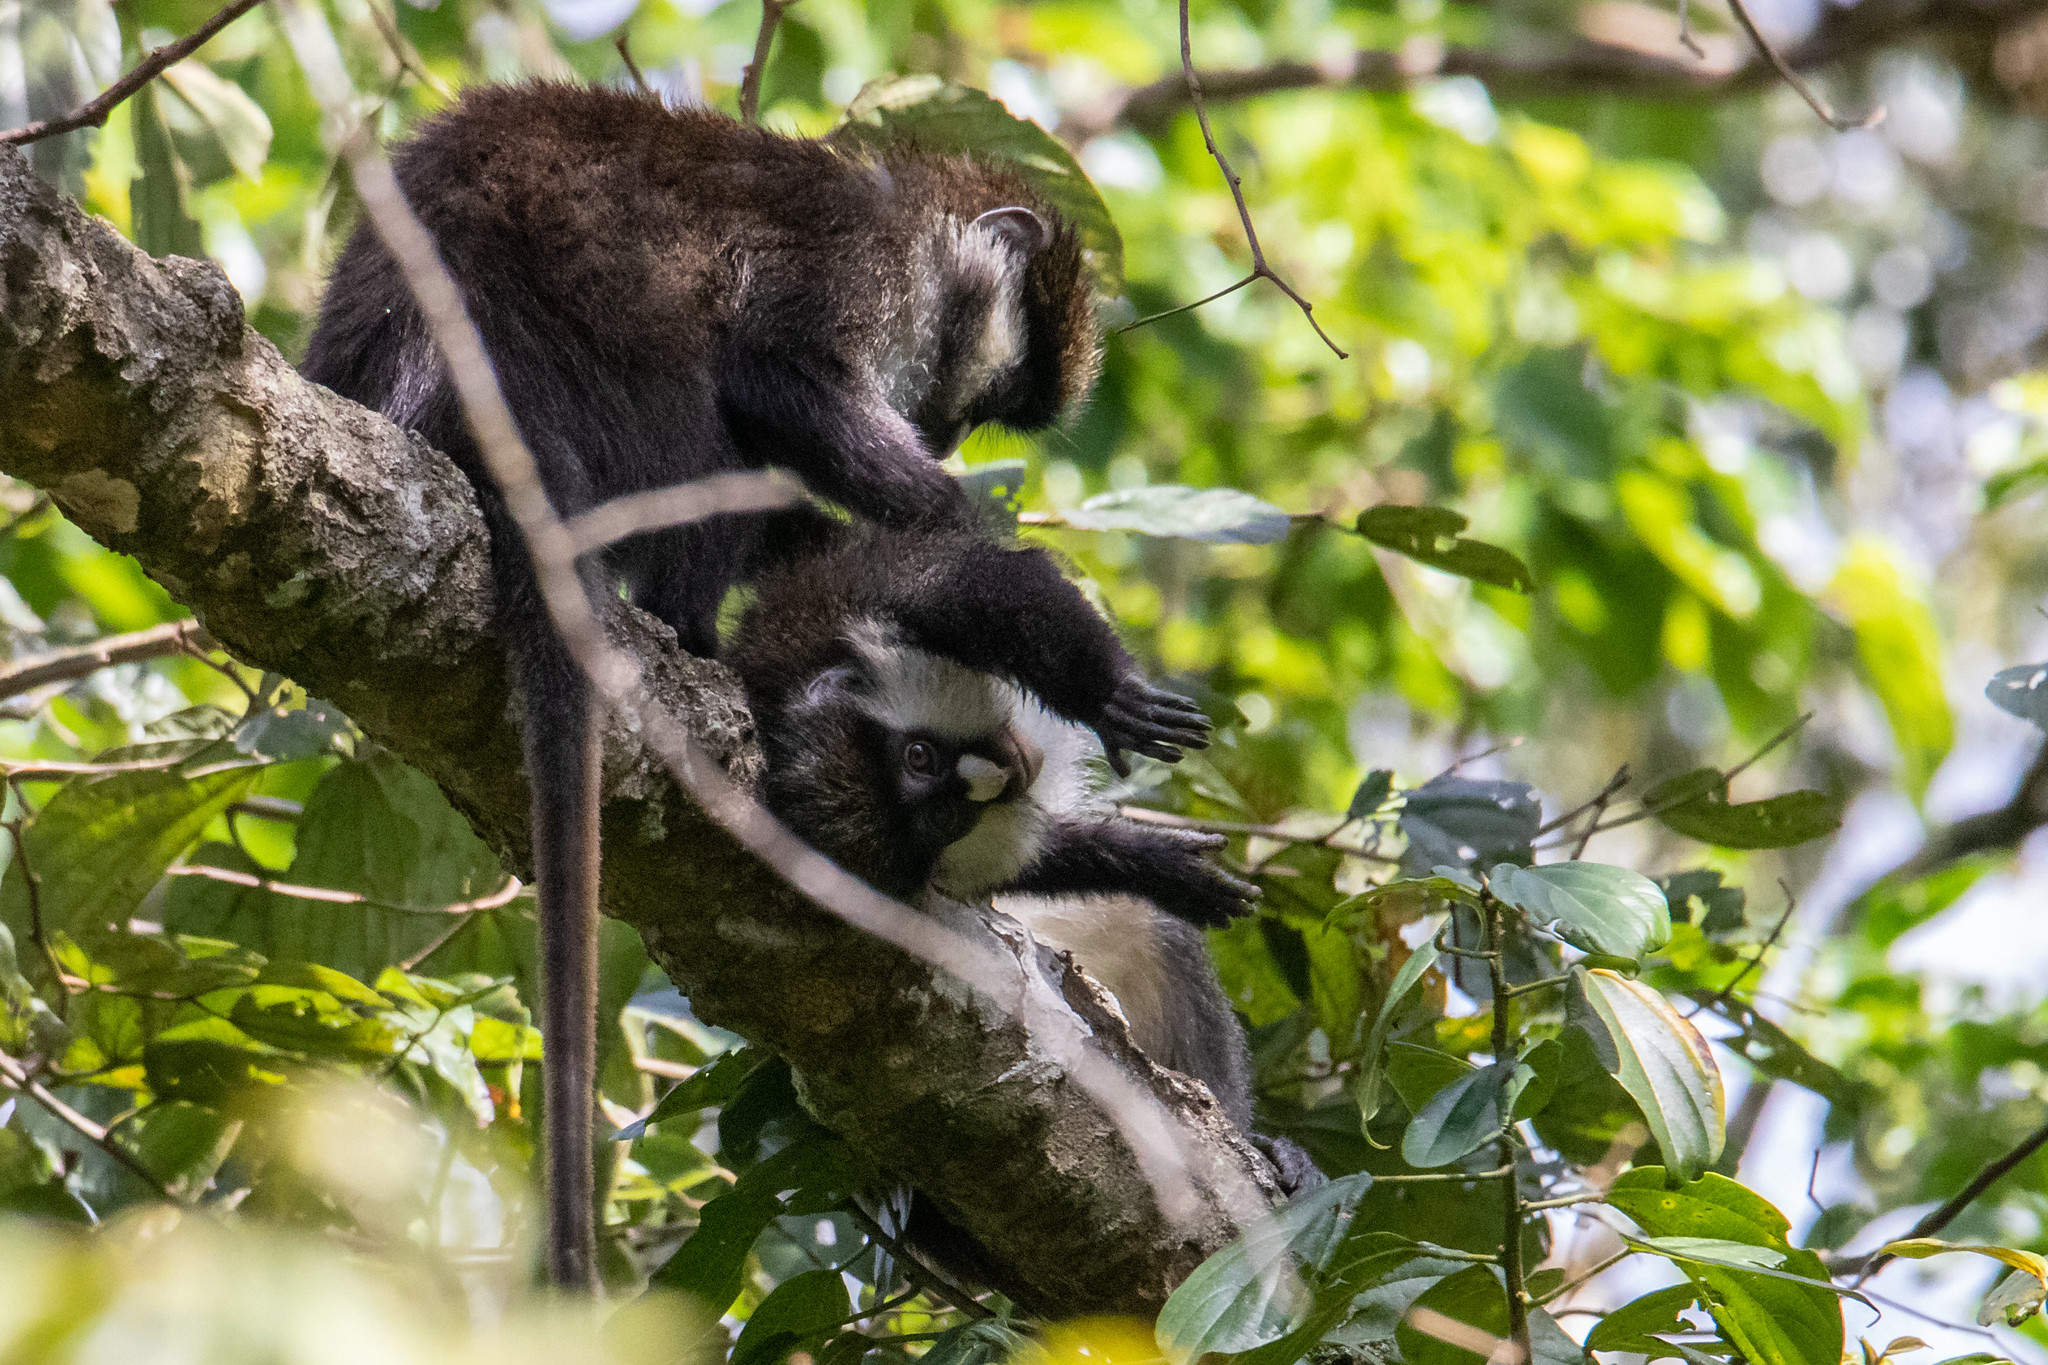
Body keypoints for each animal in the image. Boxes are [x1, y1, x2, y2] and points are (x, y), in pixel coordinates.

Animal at [300, 84, 1211, 1290]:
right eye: (988, 395)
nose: (943, 435)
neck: (895, 211)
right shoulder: (855, 270)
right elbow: (780, 382)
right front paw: (995, 557)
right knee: (703, 405)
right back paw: (691, 632)